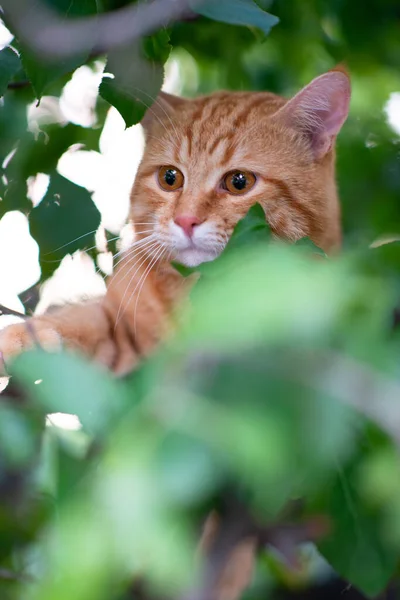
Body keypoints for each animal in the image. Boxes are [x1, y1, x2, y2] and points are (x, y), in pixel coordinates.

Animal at [0, 68, 350, 378]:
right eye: (170, 178)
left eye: (239, 182)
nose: (186, 220)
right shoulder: (119, 325)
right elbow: (80, 320)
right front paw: (23, 338)